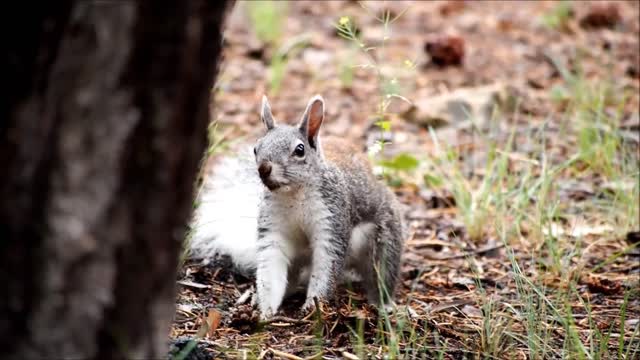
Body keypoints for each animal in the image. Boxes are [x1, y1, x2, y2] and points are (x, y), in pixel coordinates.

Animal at [189, 95, 404, 318]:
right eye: (256, 148)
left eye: (299, 150)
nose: (264, 168)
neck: (293, 194)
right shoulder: (273, 228)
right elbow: (270, 271)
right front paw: (266, 310)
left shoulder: (331, 220)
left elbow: (325, 268)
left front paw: (313, 307)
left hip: (384, 241)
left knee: (381, 273)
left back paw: (383, 304)